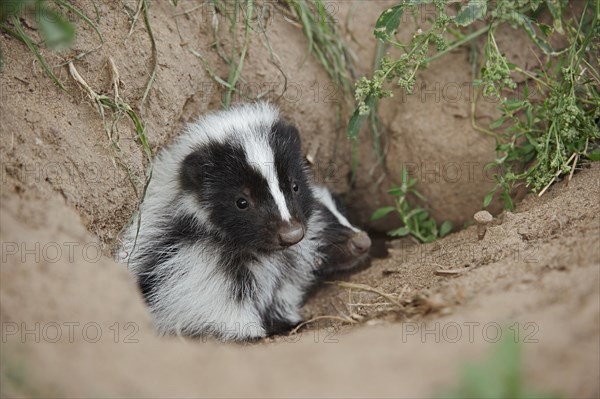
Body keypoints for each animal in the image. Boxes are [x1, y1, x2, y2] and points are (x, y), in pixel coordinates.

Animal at [119, 102, 324, 340]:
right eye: (241, 202)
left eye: (295, 186)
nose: (291, 233)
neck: (260, 253)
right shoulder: (191, 256)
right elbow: (211, 300)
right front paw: (249, 332)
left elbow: (282, 287)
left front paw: (283, 321)